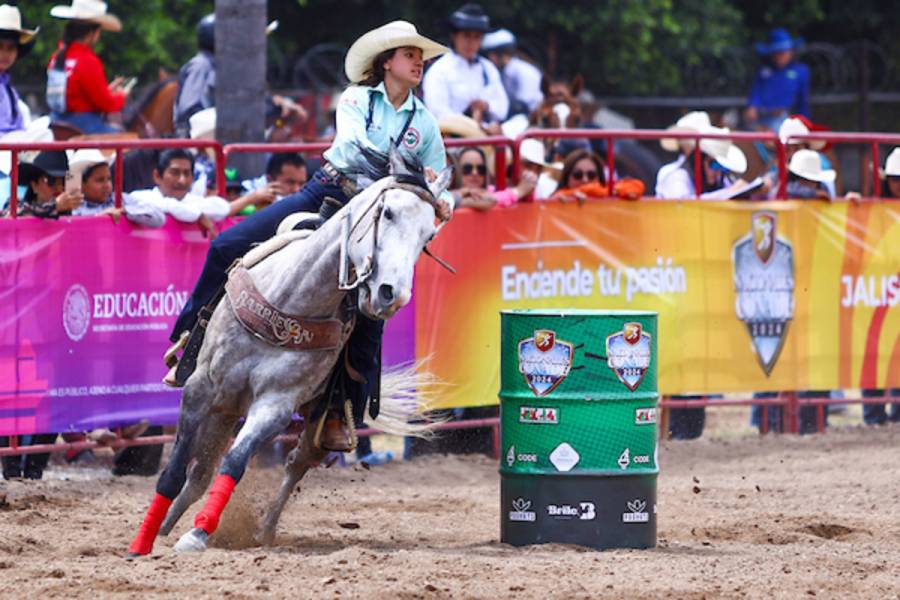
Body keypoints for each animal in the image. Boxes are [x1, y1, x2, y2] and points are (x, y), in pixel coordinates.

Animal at [127, 148, 454, 556]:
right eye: (388, 212)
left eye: (429, 234)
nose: (391, 295)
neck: (293, 300)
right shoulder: (201, 389)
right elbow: (173, 471)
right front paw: (142, 540)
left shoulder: (275, 405)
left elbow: (235, 462)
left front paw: (198, 533)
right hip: (223, 407)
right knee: (199, 473)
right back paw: (167, 527)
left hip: (308, 419)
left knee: (293, 464)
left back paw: (263, 530)